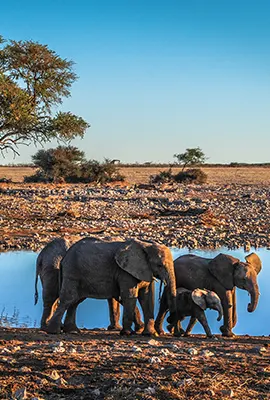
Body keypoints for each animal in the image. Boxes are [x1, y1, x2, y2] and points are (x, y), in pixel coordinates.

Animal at [45, 239, 177, 336]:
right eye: (159, 265)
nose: (170, 326)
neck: (145, 245)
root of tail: (64, 259)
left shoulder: (145, 270)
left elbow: (147, 297)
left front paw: (149, 334)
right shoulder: (125, 272)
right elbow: (129, 296)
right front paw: (127, 333)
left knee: (75, 301)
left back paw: (72, 331)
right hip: (73, 272)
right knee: (69, 299)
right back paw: (53, 331)